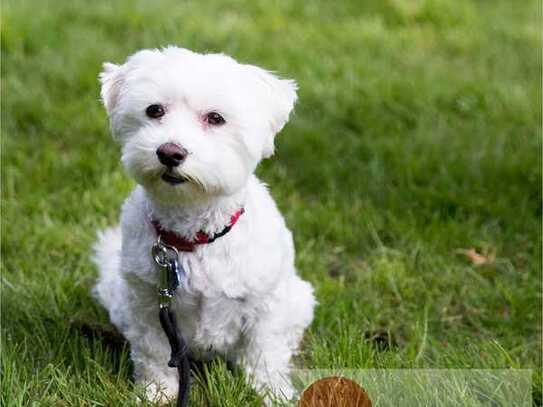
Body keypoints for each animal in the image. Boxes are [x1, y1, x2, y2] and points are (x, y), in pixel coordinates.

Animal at [92, 46, 316, 404]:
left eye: (215, 118)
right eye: (154, 110)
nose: (170, 152)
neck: (193, 236)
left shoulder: (266, 306)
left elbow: (264, 352)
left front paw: (272, 392)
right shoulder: (148, 307)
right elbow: (154, 355)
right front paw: (156, 393)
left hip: (299, 298)